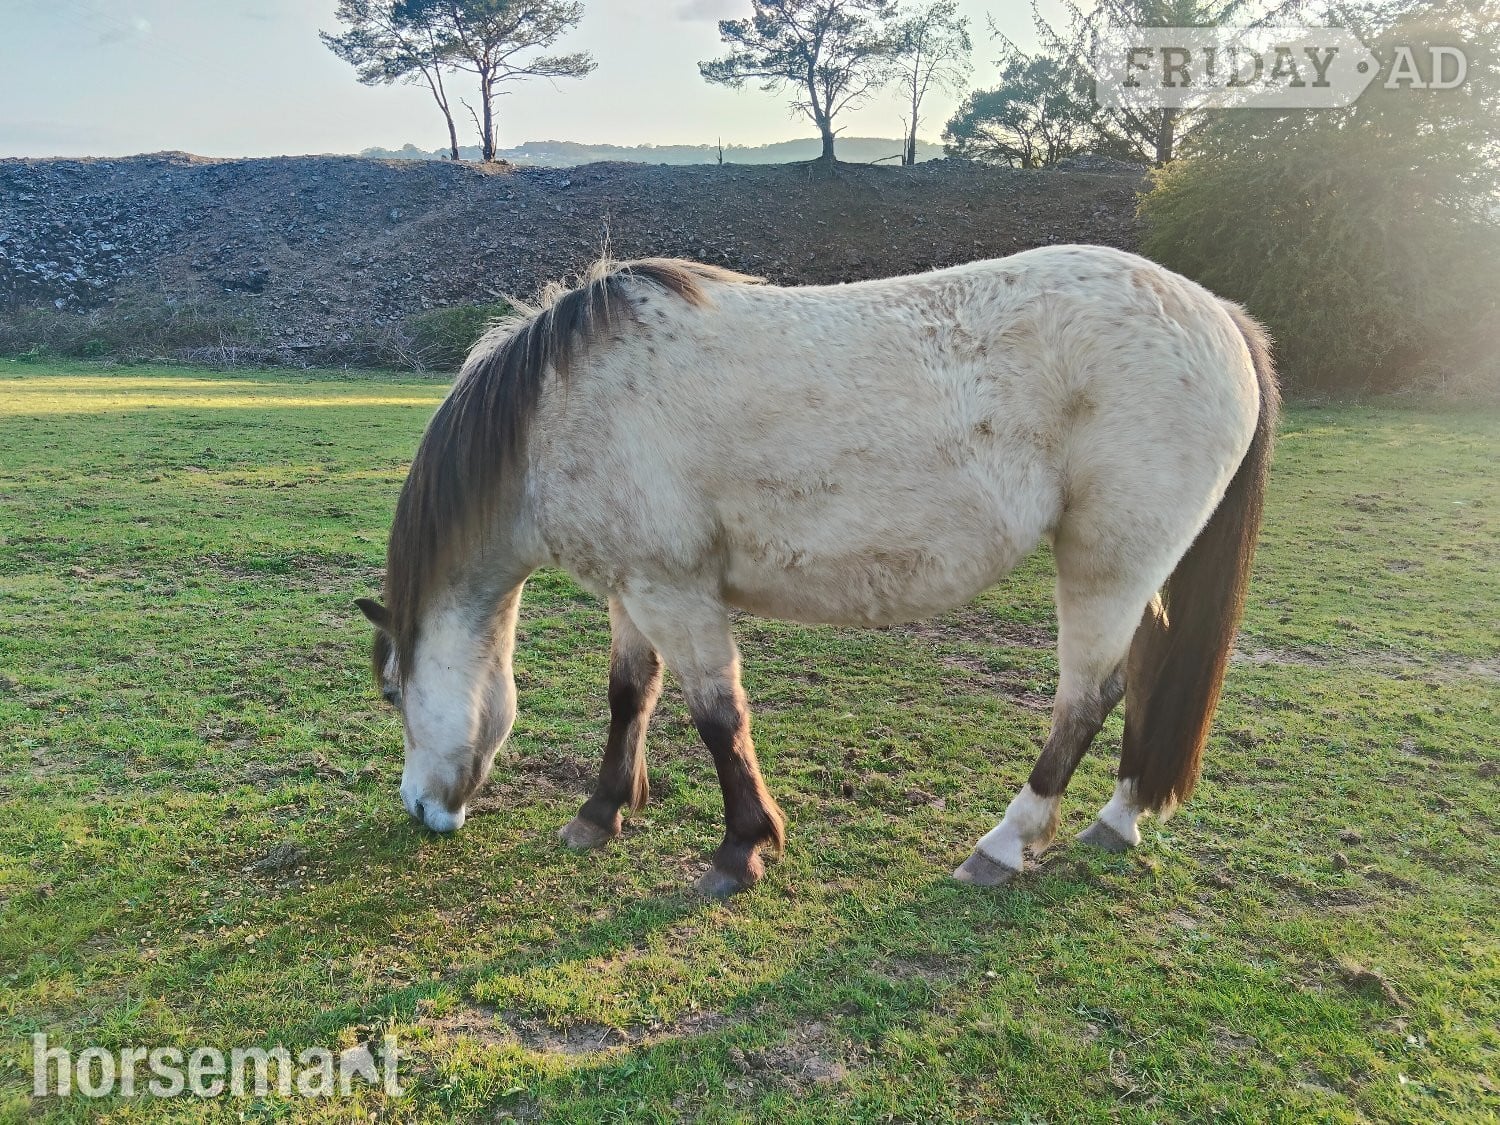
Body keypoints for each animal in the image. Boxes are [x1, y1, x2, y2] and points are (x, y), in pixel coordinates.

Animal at [356, 245, 1278, 898]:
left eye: (394, 693)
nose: (419, 809)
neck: (564, 406)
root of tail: (1220, 315)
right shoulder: (634, 588)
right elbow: (631, 696)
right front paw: (600, 812)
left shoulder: (675, 592)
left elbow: (718, 715)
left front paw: (739, 849)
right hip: (1136, 571)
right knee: (1144, 674)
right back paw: (1120, 816)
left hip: (1104, 566)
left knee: (1088, 697)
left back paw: (1005, 843)